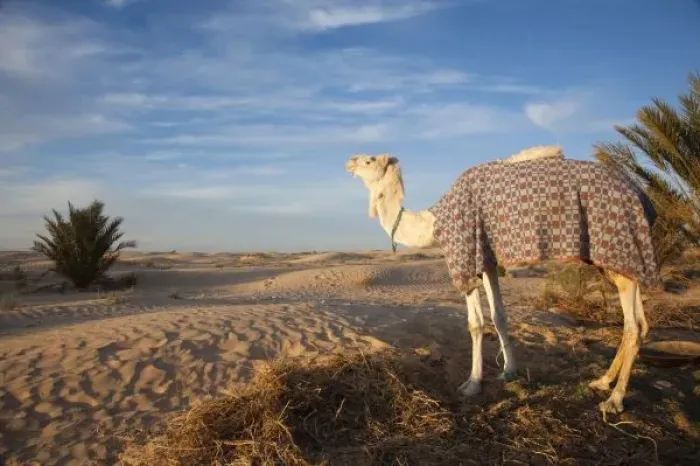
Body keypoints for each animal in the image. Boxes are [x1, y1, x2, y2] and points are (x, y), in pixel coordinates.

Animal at [345, 145, 659, 415]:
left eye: (370, 160)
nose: (349, 161)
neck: (434, 223)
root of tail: (640, 195)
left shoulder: (466, 254)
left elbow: (476, 323)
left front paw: (472, 383)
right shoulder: (487, 259)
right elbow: (499, 316)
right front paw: (510, 370)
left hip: (620, 248)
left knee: (633, 326)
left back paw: (614, 400)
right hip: (612, 262)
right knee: (642, 323)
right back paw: (602, 381)